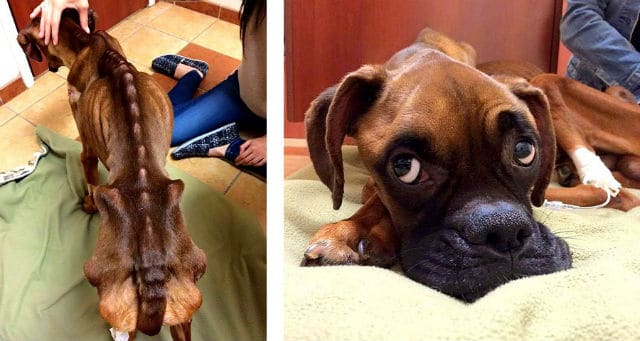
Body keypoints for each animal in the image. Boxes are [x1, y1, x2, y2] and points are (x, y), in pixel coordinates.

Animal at [16, 9, 205, 338]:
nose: (49, 67)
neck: (87, 41)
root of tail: (151, 268)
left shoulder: (87, 149)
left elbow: (90, 178)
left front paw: (89, 203)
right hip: (185, 307)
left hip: (107, 293)